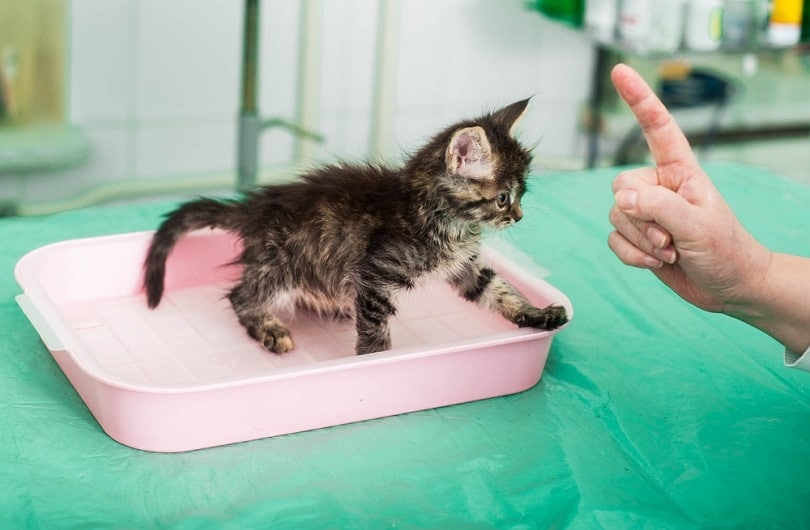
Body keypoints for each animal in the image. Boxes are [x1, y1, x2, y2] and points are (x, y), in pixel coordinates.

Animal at [142, 99, 564, 354]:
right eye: (504, 198)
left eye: (522, 194)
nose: (519, 216)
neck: (445, 221)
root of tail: (257, 205)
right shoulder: (376, 273)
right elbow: (376, 331)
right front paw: (375, 361)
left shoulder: (467, 268)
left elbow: (502, 291)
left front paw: (538, 314)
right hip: (280, 264)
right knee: (240, 296)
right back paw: (270, 329)